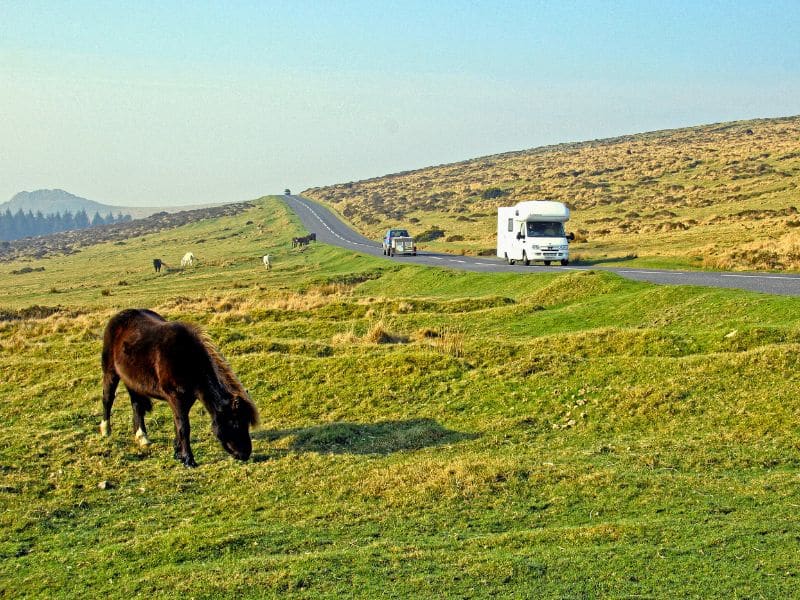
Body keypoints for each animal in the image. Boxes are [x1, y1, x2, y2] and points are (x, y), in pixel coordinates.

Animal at [100, 309, 259, 467]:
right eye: (236, 423)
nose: (245, 454)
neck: (186, 360)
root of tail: (118, 316)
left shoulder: (186, 400)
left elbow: (178, 425)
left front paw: (178, 453)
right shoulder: (176, 398)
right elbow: (184, 427)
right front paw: (189, 460)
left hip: (133, 383)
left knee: (137, 405)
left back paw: (142, 438)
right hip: (110, 372)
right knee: (108, 399)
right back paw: (105, 431)